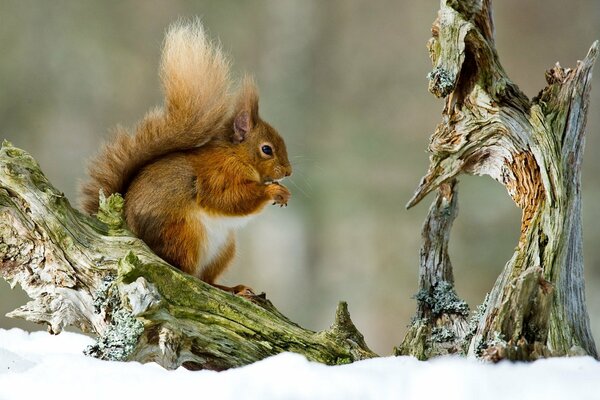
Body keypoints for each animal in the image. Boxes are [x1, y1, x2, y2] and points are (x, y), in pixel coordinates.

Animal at [81, 20, 292, 296]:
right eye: (267, 149)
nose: (288, 172)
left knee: (206, 278)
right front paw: (273, 191)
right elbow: (229, 198)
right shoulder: (217, 174)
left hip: (223, 248)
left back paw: (232, 288)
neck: (236, 155)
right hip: (184, 234)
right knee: (187, 272)